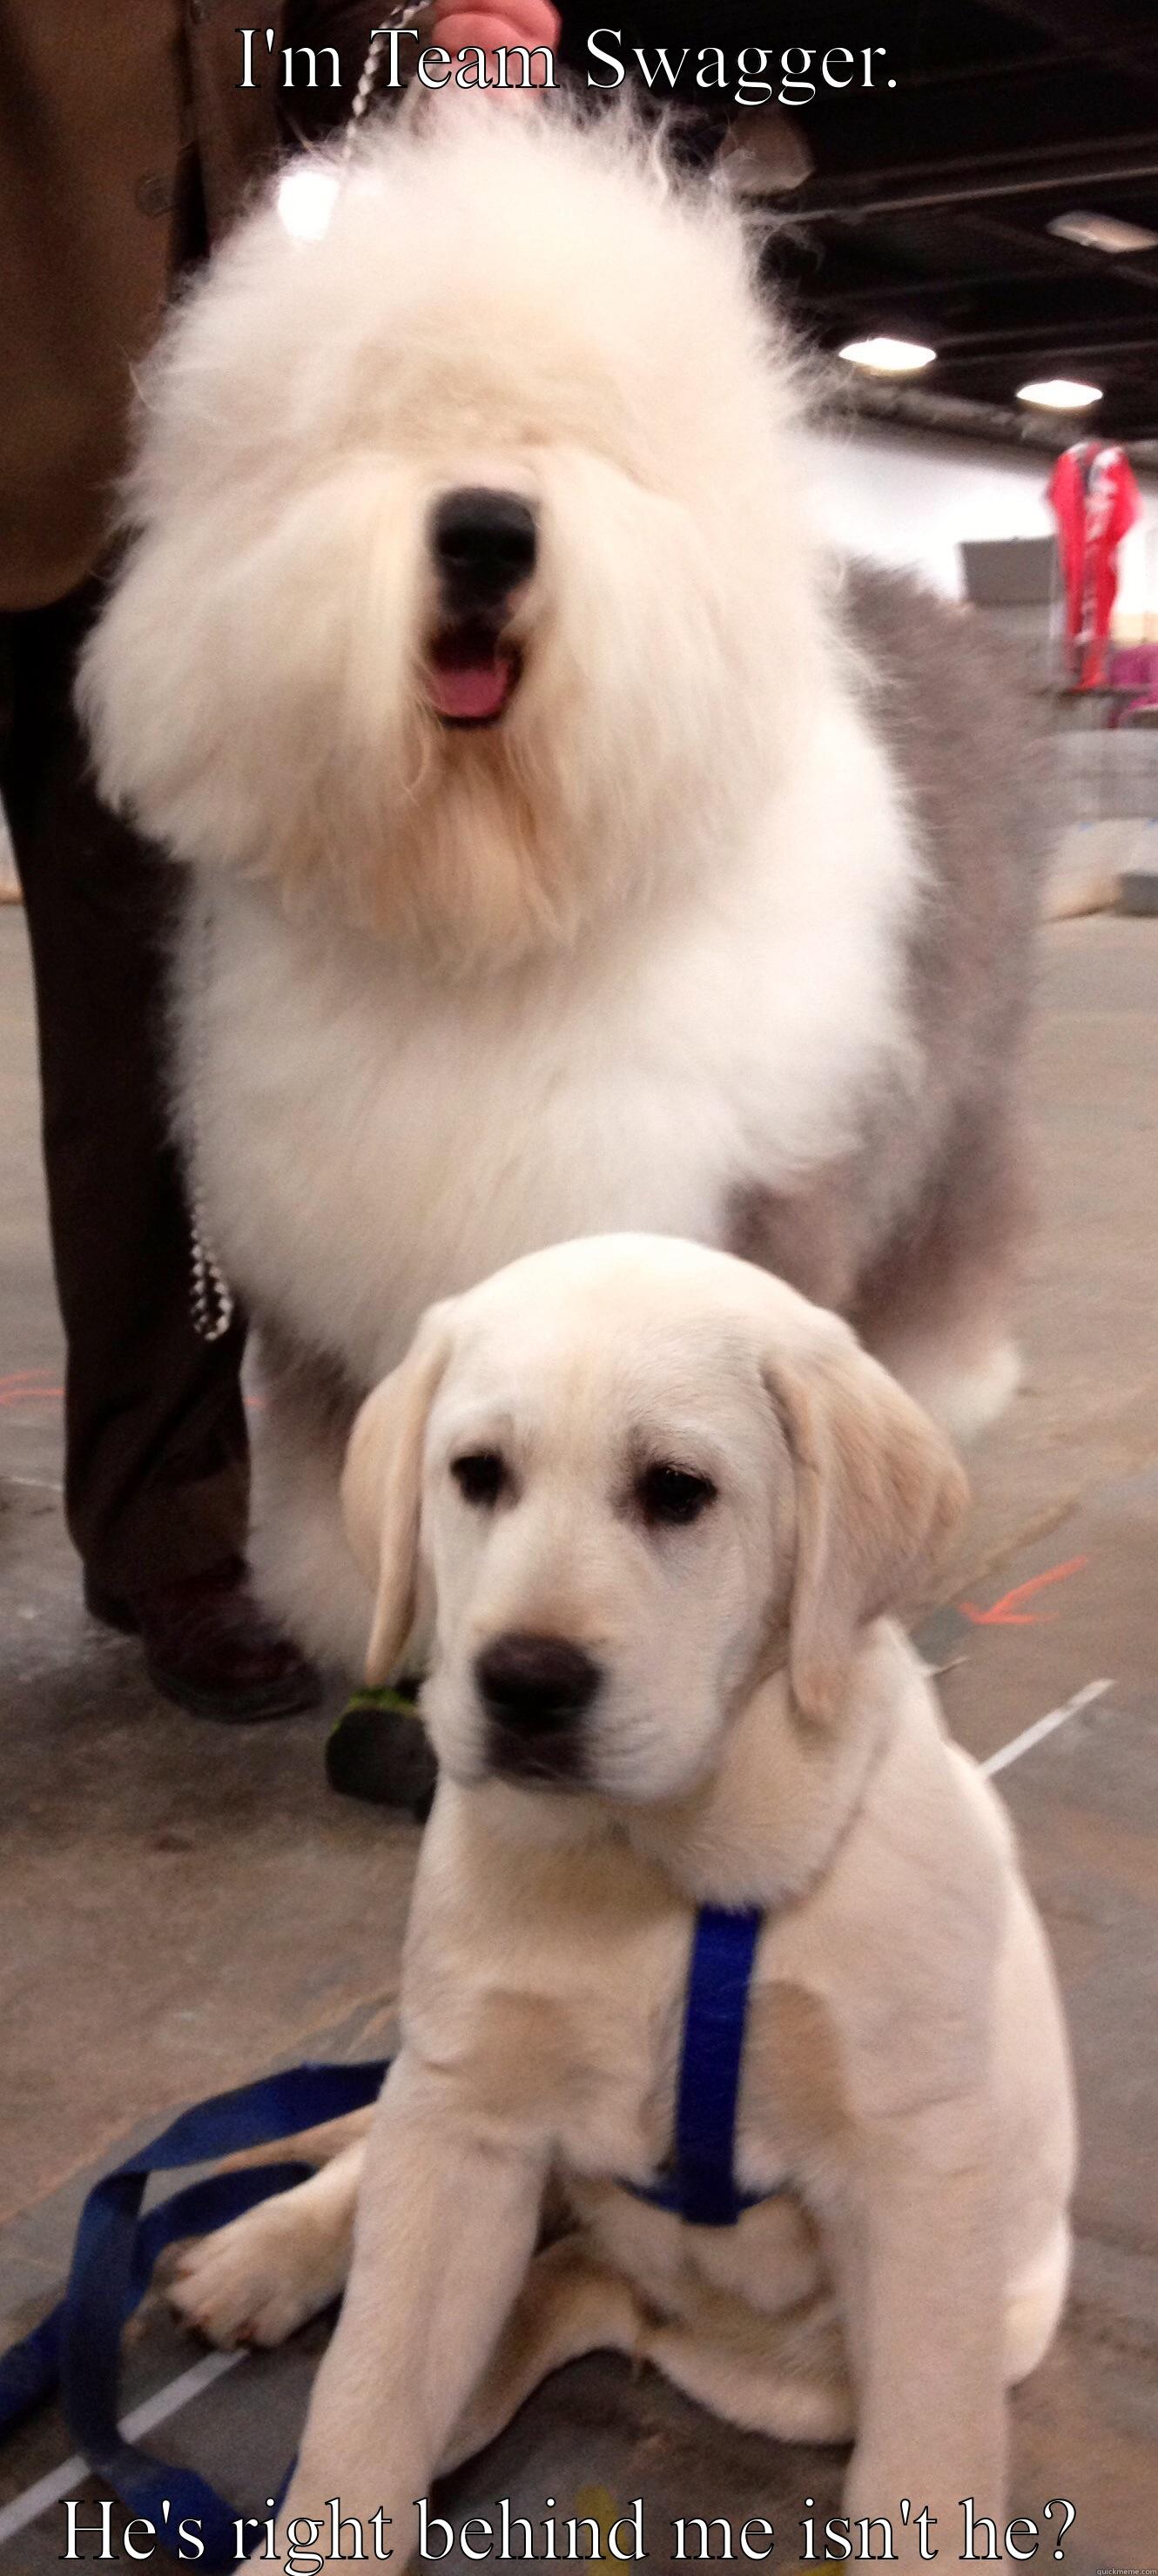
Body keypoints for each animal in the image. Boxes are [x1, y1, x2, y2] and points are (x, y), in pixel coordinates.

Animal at [167, 1236, 1070, 2566]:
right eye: (476, 1476)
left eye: (677, 1491)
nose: (524, 1682)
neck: (658, 1872)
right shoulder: (466, 2122)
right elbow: (368, 2392)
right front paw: (319, 2532)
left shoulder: (910, 2175)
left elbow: (924, 2462)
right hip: (449, 2104)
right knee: (379, 2174)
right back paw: (257, 2255)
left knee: (563, 2285)